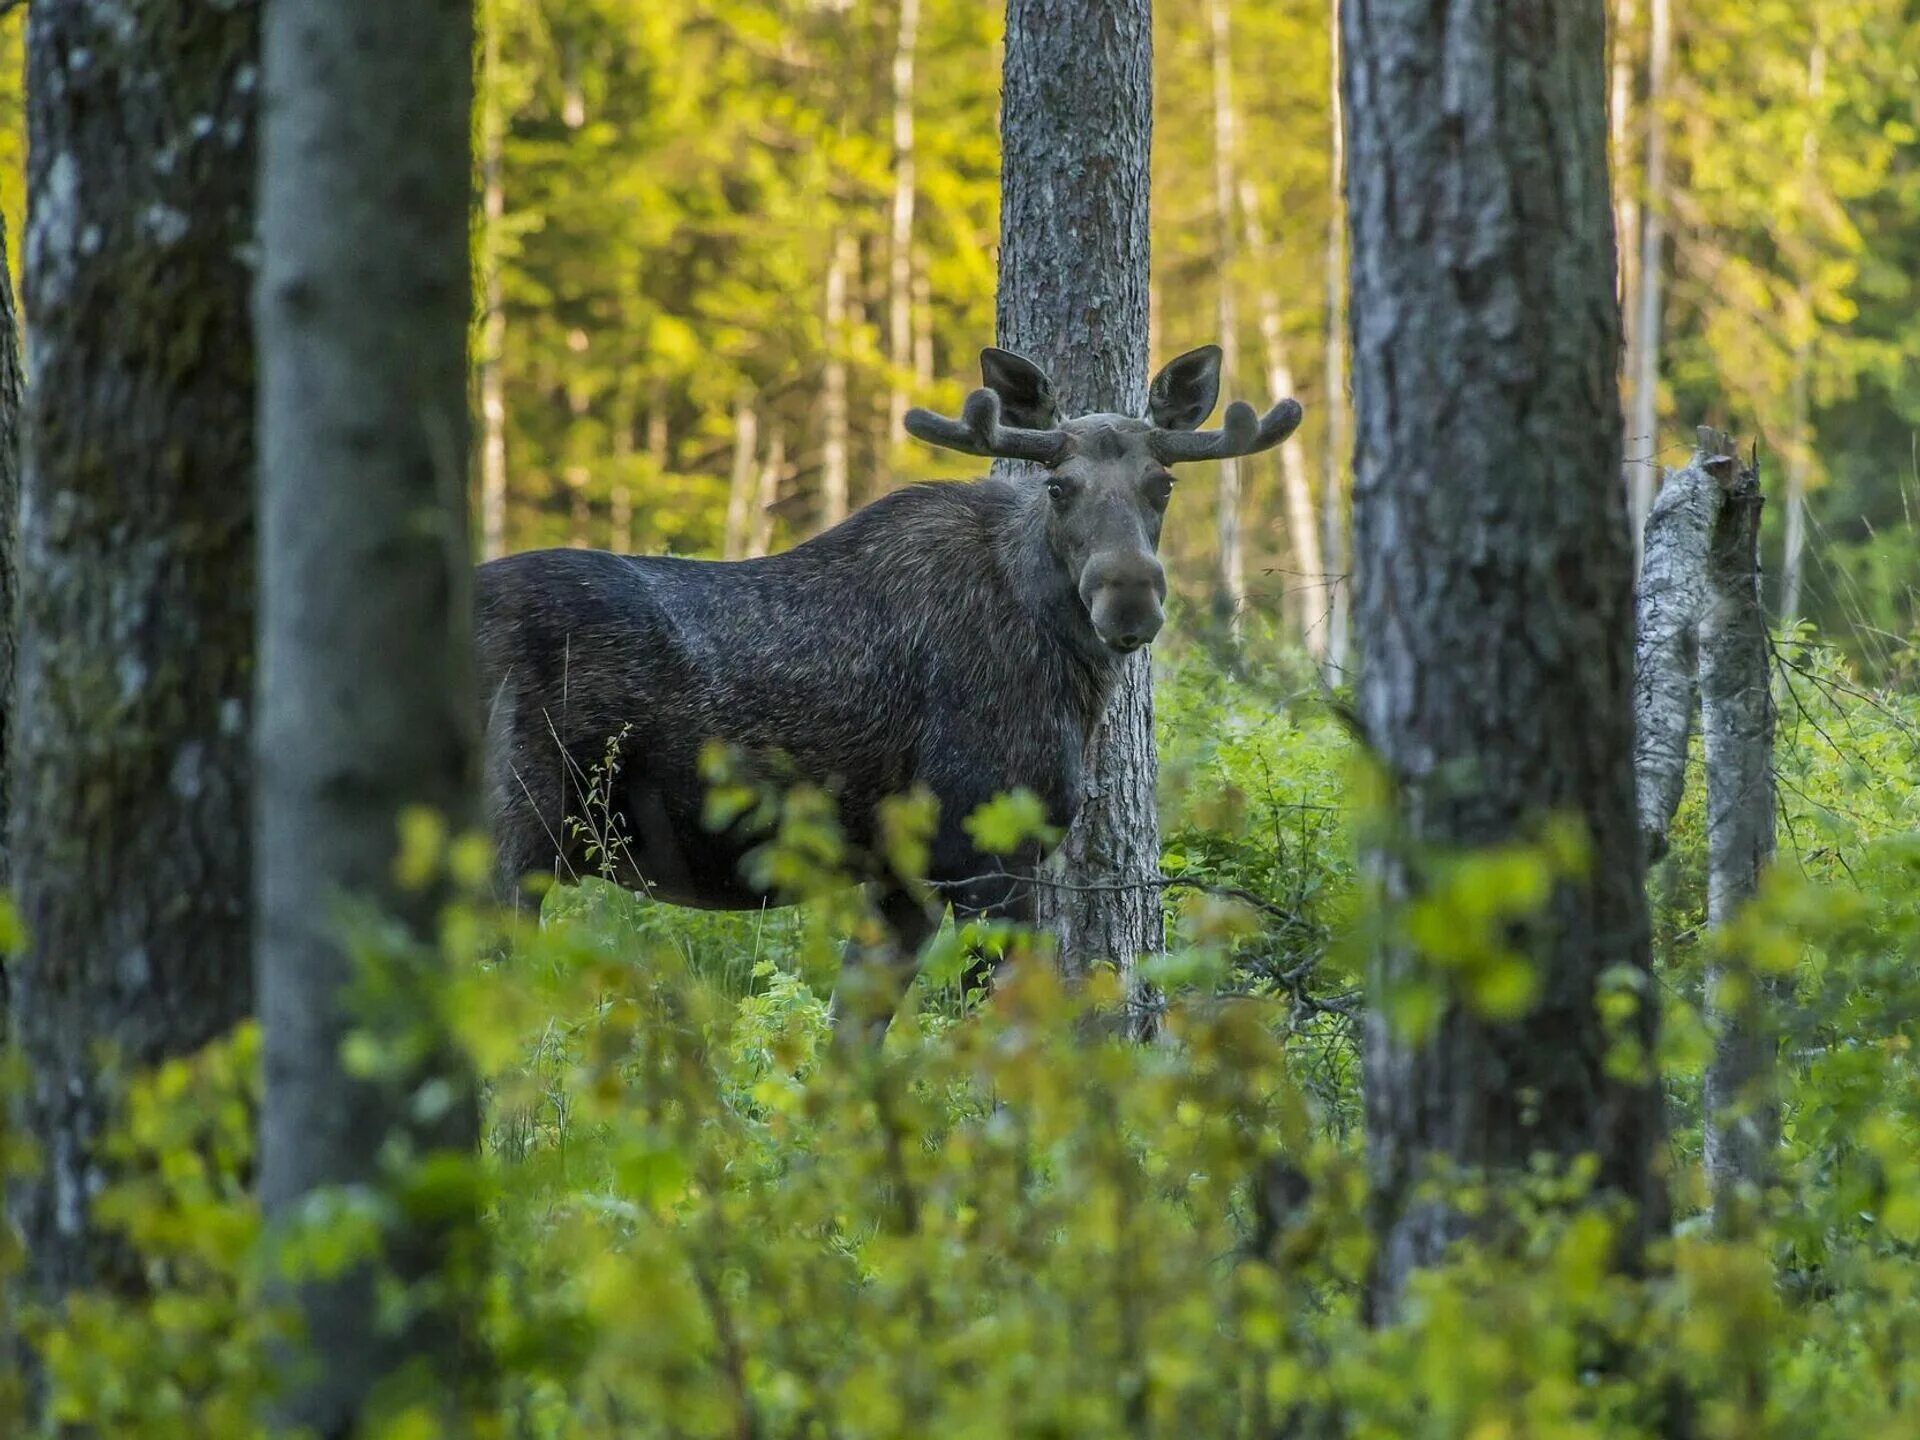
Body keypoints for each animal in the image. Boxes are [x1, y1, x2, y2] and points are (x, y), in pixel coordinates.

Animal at [476, 343, 1305, 1029]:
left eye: (1162, 482)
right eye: (1059, 486)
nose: (1129, 597)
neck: (1072, 679)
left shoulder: (902, 875)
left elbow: (853, 1035)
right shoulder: (984, 848)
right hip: (508, 838)